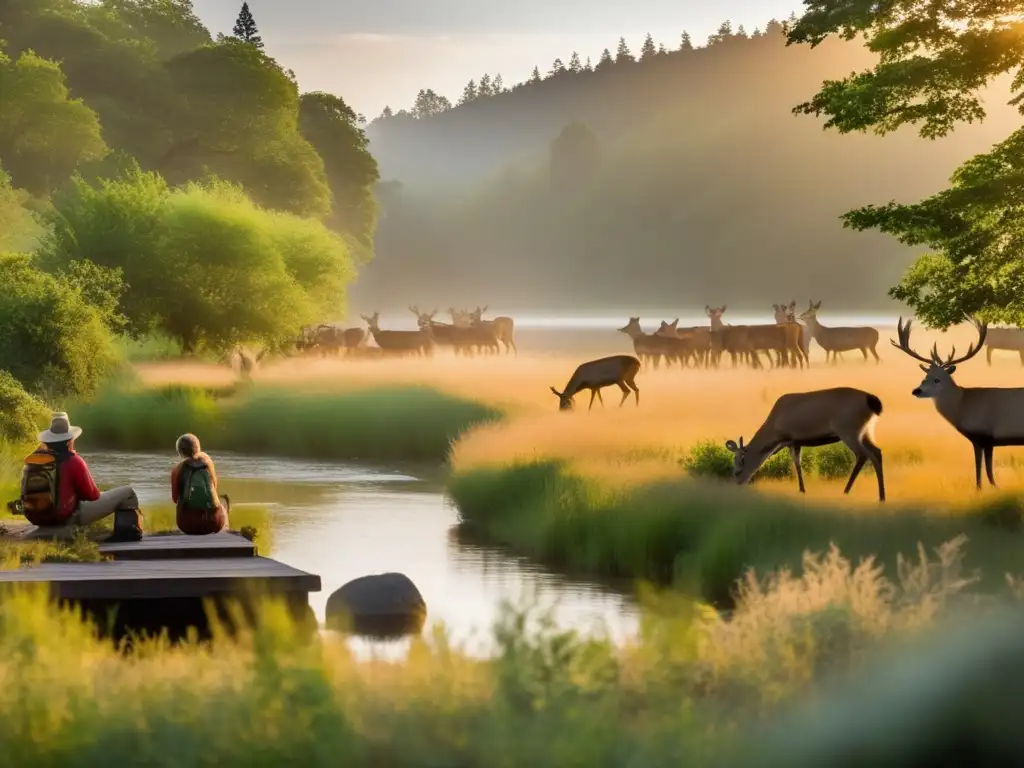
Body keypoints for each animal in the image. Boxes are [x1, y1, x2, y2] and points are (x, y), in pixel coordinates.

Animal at [724, 387, 884, 501]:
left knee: (863, 455)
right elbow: (798, 464)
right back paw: (881, 496)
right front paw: (802, 489)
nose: (738, 481)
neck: (775, 432)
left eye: (741, 461)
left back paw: (847, 491)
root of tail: (873, 402)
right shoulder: (796, 442)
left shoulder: (790, 439)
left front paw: (802, 489)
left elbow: (796, 464)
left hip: (849, 430)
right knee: (877, 452)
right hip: (866, 431)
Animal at [888, 315, 1024, 489]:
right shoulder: (981, 439)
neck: (963, 405)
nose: (916, 391)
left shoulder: (985, 436)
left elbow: (984, 469)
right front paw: (986, 488)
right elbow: (982, 469)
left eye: (937, 379)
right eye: (924, 377)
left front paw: (988, 488)